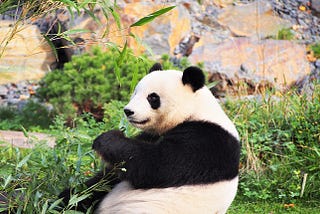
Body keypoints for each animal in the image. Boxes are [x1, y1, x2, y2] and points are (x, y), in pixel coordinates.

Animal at [59, 62, 240, 213]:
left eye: (152, 97)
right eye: (135, 92)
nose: (128, 111)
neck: (194, 110)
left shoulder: (207, 140)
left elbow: (157, 164)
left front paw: (107, 139)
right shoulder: (152, 135)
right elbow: (109, 176)